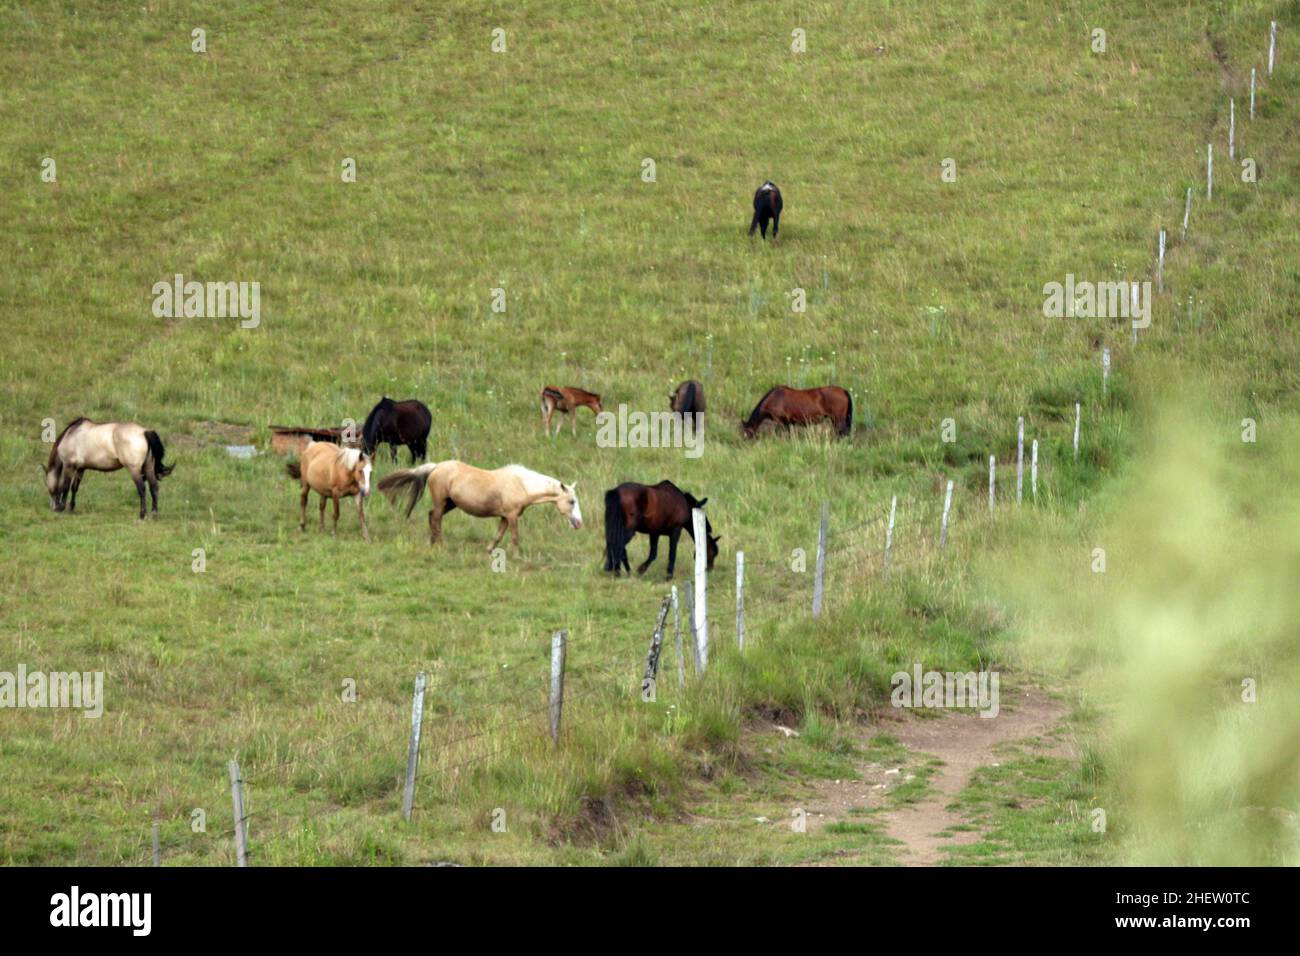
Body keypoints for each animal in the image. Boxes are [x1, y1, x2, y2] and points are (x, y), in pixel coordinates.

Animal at [46, 418, 174, 520]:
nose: (53, 507)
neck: (71, 435)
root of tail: (144, 432)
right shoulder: (80, 468)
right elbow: (74, 488)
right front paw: (71, 508)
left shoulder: (69, 465)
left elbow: (65, 486)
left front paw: (62, 507)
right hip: (148, 468)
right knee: (154, 487)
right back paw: (154, 514)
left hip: (134, 470)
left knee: (142, 489)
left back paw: (142, 515)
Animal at [377, 463, 579, 554]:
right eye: (571, 501)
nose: (578, 523)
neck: (521, 484)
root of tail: (435, 467)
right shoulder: (512, 516)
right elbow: (514, 537)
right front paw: (517, 556)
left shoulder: (505, 517)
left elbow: (498, 535)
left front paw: (489, 550)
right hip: (442, 502)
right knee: (435, 518)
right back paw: (440, 544)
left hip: (450, 503)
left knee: (431, 516)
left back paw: (433, 542)